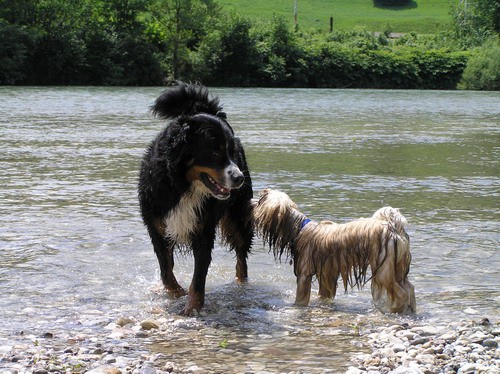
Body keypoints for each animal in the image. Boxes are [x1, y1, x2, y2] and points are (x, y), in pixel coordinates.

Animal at [138, 82, 252, 316]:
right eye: (215, 153)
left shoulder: (203, 231)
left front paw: (192, 309)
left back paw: (240, 285)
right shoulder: (158, 228)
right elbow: (166, 271)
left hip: (238, 220)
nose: (239, 178)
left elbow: (198, 279)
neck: (184, 187)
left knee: (241, 260)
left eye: (232, 153)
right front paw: (175, 294)